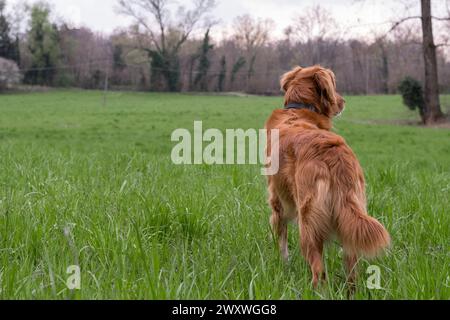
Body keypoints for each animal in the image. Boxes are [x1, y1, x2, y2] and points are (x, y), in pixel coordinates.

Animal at [266, 64, 388, 288]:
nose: (343, 101)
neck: (300, 109)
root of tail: (333, 156)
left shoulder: (277, 200)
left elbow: (281, 241)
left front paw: (283, 265)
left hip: (308, 224)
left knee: (319, 272)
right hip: (352, 218)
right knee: (352, 272)